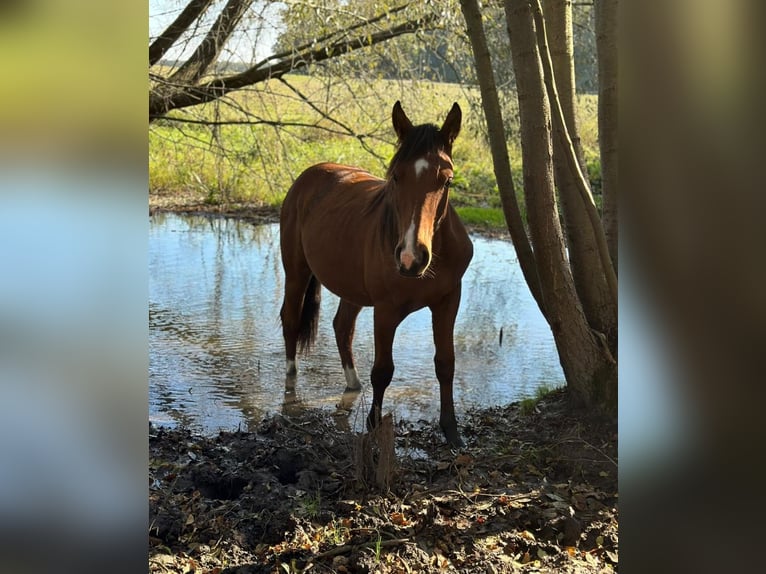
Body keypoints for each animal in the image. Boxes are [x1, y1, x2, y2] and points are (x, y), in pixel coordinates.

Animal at [280, 101, 474, 448]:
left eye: (447, 180)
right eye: (396, 176)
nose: (411, 257)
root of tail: (310, 174)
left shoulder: (448, 301)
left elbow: (446, 363)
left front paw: (452, 432)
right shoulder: (385, 310)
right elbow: (383, 370)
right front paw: (373, 426)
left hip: (351, 288)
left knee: (342, 327)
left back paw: (353, 384)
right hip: (296, 271)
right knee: (290, 320)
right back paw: (291, 382)